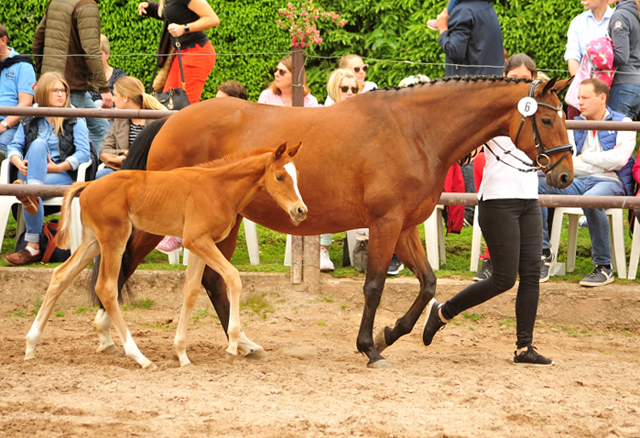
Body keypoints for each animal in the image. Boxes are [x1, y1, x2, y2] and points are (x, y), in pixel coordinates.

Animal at [23, 142, 306, 368]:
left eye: (296, 176)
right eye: (280, 177)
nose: (300, 210)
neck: (219, 188)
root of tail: (88, 185)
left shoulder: (198, 245)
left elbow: (191, 291)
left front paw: (182, 353)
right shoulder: (198, 241)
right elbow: (233, 278)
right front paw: (232, 346)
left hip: (93, 241)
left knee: (60, 276)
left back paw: (31, 345)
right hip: (114, 239)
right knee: (106, 288)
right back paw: (139, 357)